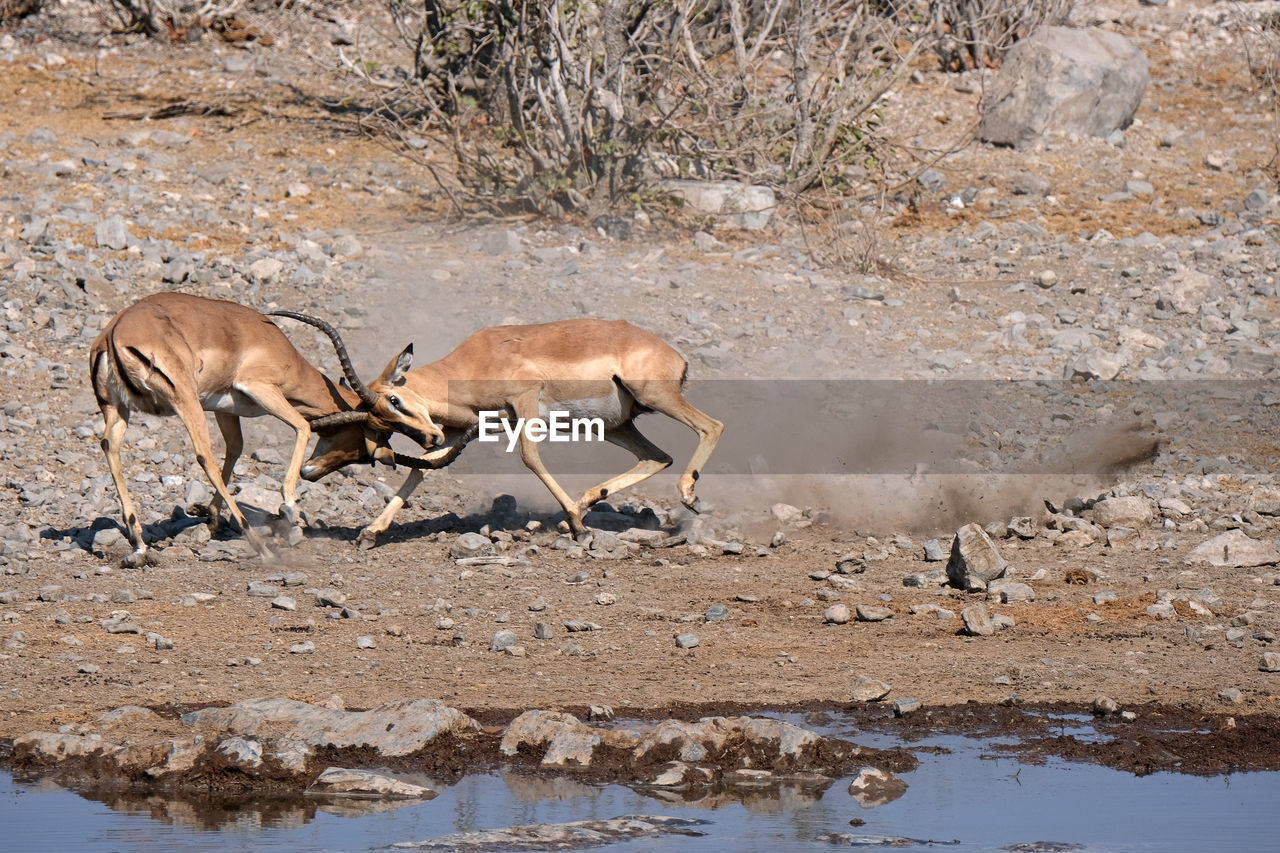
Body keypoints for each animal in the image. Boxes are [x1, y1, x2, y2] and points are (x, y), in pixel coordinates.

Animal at [88, 292, 465, 563]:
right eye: (365, 445)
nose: (432, 436)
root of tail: (114, 334)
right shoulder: (261, 390)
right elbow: (301, 427)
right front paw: (292, 515)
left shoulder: (224, 408)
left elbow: (235, 450)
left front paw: (210, 519)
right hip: (185, 401)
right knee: (203, 455)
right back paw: (260, 545)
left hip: (119, 409)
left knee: (110, 447)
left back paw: (139, 545)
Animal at [268, 311, 721, 545]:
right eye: (378, 421)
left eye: (394, 400)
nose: (427, 435)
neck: (471, 364)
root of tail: (673, 355)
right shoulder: (456, 431)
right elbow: (419, 472)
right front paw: (370, 532)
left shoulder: (523, 403)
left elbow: (529, 458)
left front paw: (578, 525)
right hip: (616, 425)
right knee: (657, 456)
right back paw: (587, 502)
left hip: (657, 398)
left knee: (711, 426)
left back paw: (688, 498)